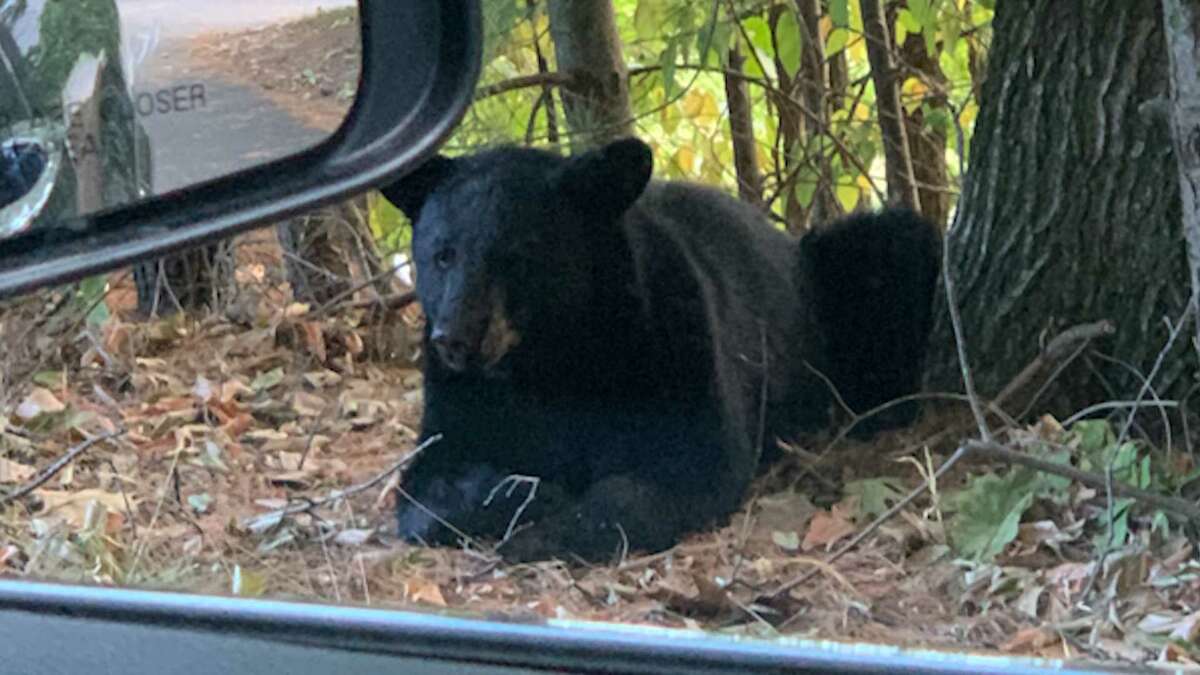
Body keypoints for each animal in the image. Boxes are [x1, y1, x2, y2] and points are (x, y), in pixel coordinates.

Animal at [381, 137, 939, 563]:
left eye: (516, 257)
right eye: (442, 255)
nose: (456, 337)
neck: (550, 357)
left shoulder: (671, 342)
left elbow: (680, 469)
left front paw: (544, 532)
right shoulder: (462, 397)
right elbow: (427, 486)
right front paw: (527, 493)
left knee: (898, 243)